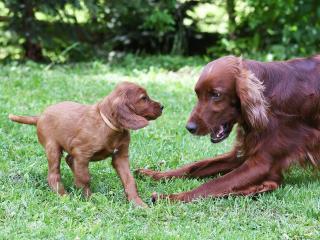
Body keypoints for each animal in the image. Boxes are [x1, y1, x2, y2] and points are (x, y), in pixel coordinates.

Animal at [8, 81, 164, 205]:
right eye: (143, 98)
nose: (162, 106)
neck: (108, 124)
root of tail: (40, 116)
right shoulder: (82, 153)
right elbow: (84, 178)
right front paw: (89, 198)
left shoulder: (120, 156)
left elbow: (129, 180)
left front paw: (138, 203)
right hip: (53, 148)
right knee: (53, 174)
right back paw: (63, 195)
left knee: (69, 159)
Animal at [137, 54, 320, 202]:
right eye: (197, 93)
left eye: (216, 94)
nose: (190, 127)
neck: (267, 96)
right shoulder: (242, 153)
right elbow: (194, 166)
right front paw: (154, 174)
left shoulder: (261, 164)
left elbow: (211, 184)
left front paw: (169, 197)